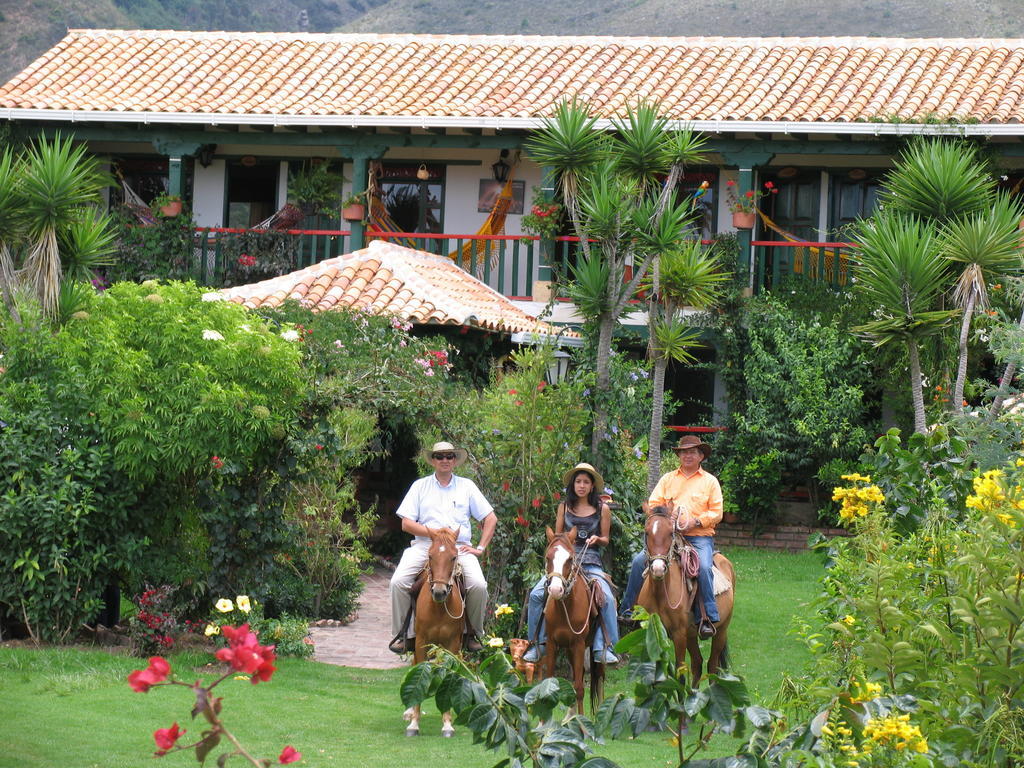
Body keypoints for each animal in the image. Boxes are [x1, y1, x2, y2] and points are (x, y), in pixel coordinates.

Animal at [401, 528, 462, 741]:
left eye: (453, 557)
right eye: (430, 556)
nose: (439, 592)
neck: (439, 608)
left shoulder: (452, 644)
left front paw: (447, 724)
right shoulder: (421, 641)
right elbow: (419, 674)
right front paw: (414, 723)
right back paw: (409, 711)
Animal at [540, 528, 602, 716]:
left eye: (569, 559)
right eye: (548, 557)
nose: (555, 589)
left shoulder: (579, 644)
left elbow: (580, 688)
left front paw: (583, 722)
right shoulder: (552, 643)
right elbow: (549, 682)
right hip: (568, 649)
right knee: (578, 674)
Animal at [634, 507, 733, 684]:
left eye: (670, 533)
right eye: (646, 532)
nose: (658, 569)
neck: (661, 594)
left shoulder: (679, 635)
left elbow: (679, 676)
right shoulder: (652, 634)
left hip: (721, 630)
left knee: (712, 665)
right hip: (692, 635)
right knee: (697, 663)